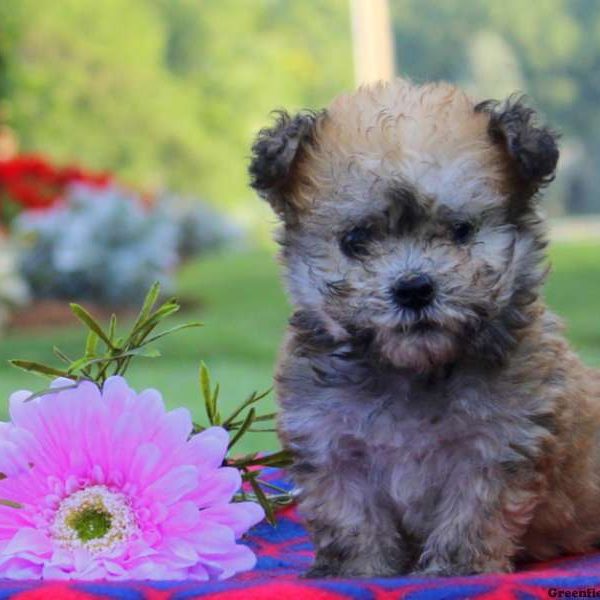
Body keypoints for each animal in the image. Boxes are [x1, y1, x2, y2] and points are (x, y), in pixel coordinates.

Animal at [247, 78, 600, 576]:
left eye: (461, 230)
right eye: (356, 240)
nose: (414, 288)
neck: (411, 374)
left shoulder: (496, 446)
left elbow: (470, 515)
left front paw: (455, 570)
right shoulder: (333, 447)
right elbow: (350, 519)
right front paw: (356, 571)